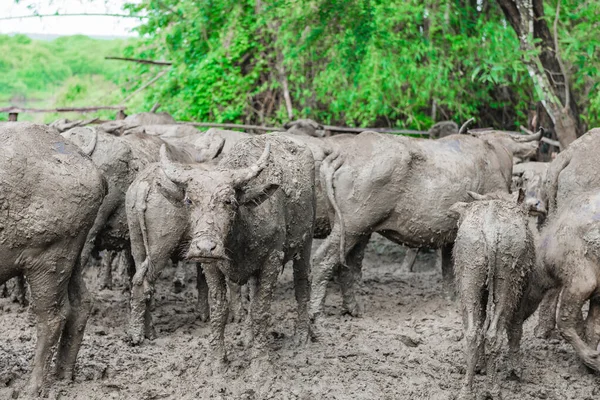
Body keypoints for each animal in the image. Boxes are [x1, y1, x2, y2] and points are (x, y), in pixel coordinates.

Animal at [0, 122, 105, 394]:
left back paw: (31, 389)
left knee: (52, 315)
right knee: (82, 303)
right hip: (71, 252)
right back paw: (63, 378)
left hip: (47, 258)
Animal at [159, 135, 316, 372]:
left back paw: (302, 337)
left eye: (229, 201)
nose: (205, 247)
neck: (240, 234)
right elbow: (220, 309)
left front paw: (260, 363)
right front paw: (217, 361)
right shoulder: (211, 265)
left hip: (305, 242)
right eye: (189, 201)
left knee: (302, 286)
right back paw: (249, 337)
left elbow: (261, 309)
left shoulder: (272, 260)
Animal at [450, 191, 536, 400]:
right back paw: (494, 390)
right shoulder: (524, 290)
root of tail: (489, 228)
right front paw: (516, 373)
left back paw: (467, 391)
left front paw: (480, 368)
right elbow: (515, 329)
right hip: (506, 282)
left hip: (469, 277)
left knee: (473, 333)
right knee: (493, 334)